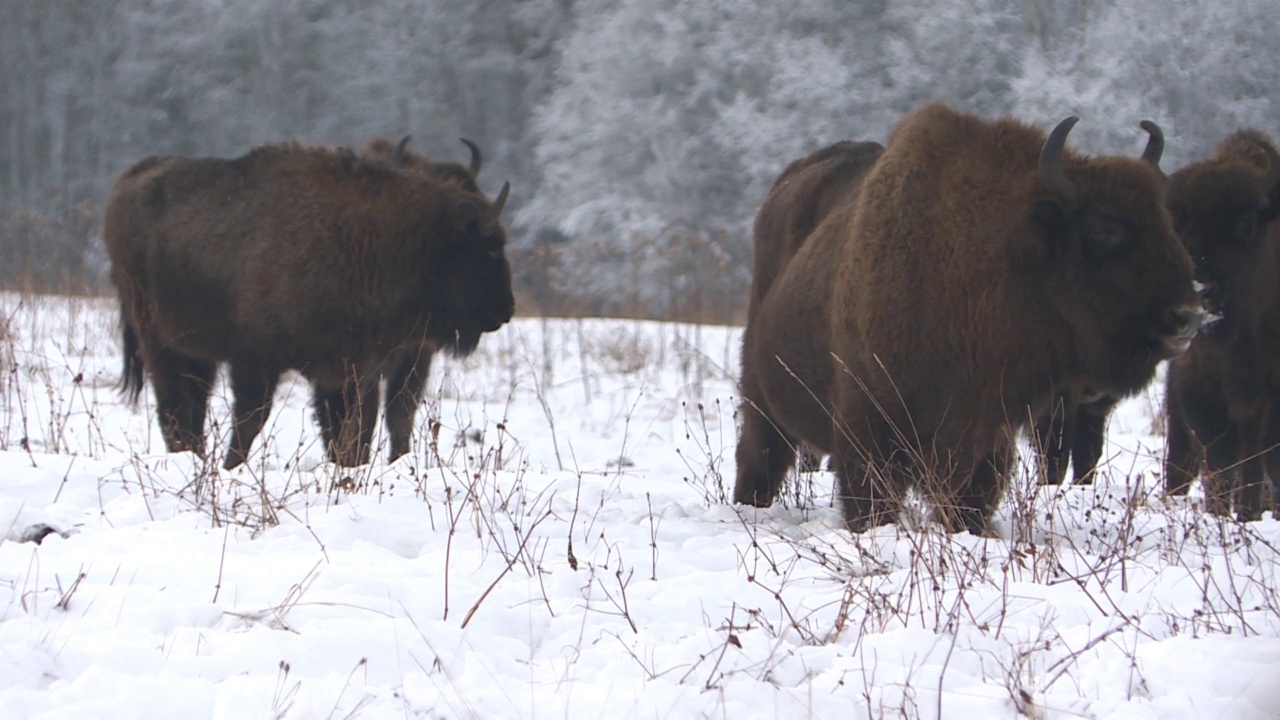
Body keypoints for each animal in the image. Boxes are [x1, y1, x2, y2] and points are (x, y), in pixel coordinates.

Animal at [106, 140, 514, 468]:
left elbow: (350, 426)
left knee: (191, 406)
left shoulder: (345, 370)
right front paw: (232, 467)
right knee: (173, 406)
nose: (506, 310)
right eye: (490, 246)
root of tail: (127, 181)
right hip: (157, 340)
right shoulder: (255, 360)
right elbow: (251, 419)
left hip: (194, 352)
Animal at [737, 103, 1203, 535]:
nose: (1188, 316)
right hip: (761, 395)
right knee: (761, 453)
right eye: (1104, 231)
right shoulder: (870, 430)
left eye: (1166, 221)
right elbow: (871, 501)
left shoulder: (989, 434)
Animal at [1162, 130, 1280, 515]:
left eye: (1245, 222)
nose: (1202, 288)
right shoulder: (1200, 390)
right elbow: (1221, 463)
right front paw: (1219, 512)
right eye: (1175, 222)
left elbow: (1260, 463)